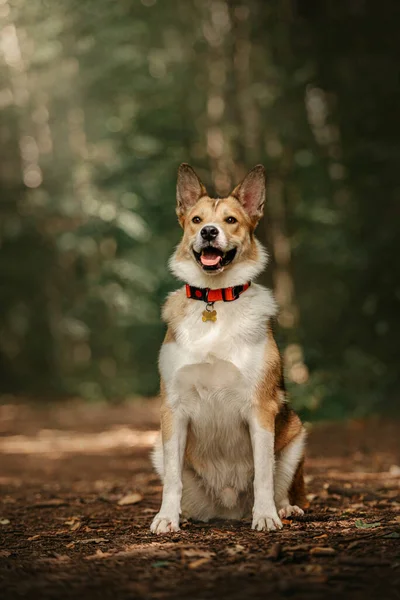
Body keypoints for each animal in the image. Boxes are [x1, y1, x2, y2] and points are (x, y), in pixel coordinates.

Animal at [150, 162, 306, 532]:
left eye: (231, 220)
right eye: (196, 219)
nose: (209, 232)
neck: (215, 299)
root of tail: (229, 509)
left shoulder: (261, 408)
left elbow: (264, 473)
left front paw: (265, 516)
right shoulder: (173, 410)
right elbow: (172, 480)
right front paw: (166, 518)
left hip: (295, 433)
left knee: (280, 483)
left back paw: (284, 508)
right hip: (157, 448)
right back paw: (184, 514)